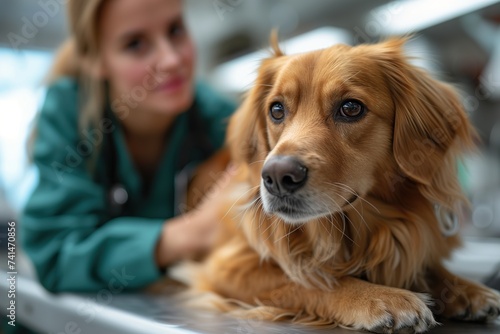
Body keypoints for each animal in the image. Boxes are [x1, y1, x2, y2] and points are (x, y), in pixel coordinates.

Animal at [176, 37, 500, 334]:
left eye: (351, 108)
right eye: (277, 110)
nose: (277, 177)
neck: (346, 230)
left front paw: (465, 289)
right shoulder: (227, 266)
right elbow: (311, 280)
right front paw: (380, 297)